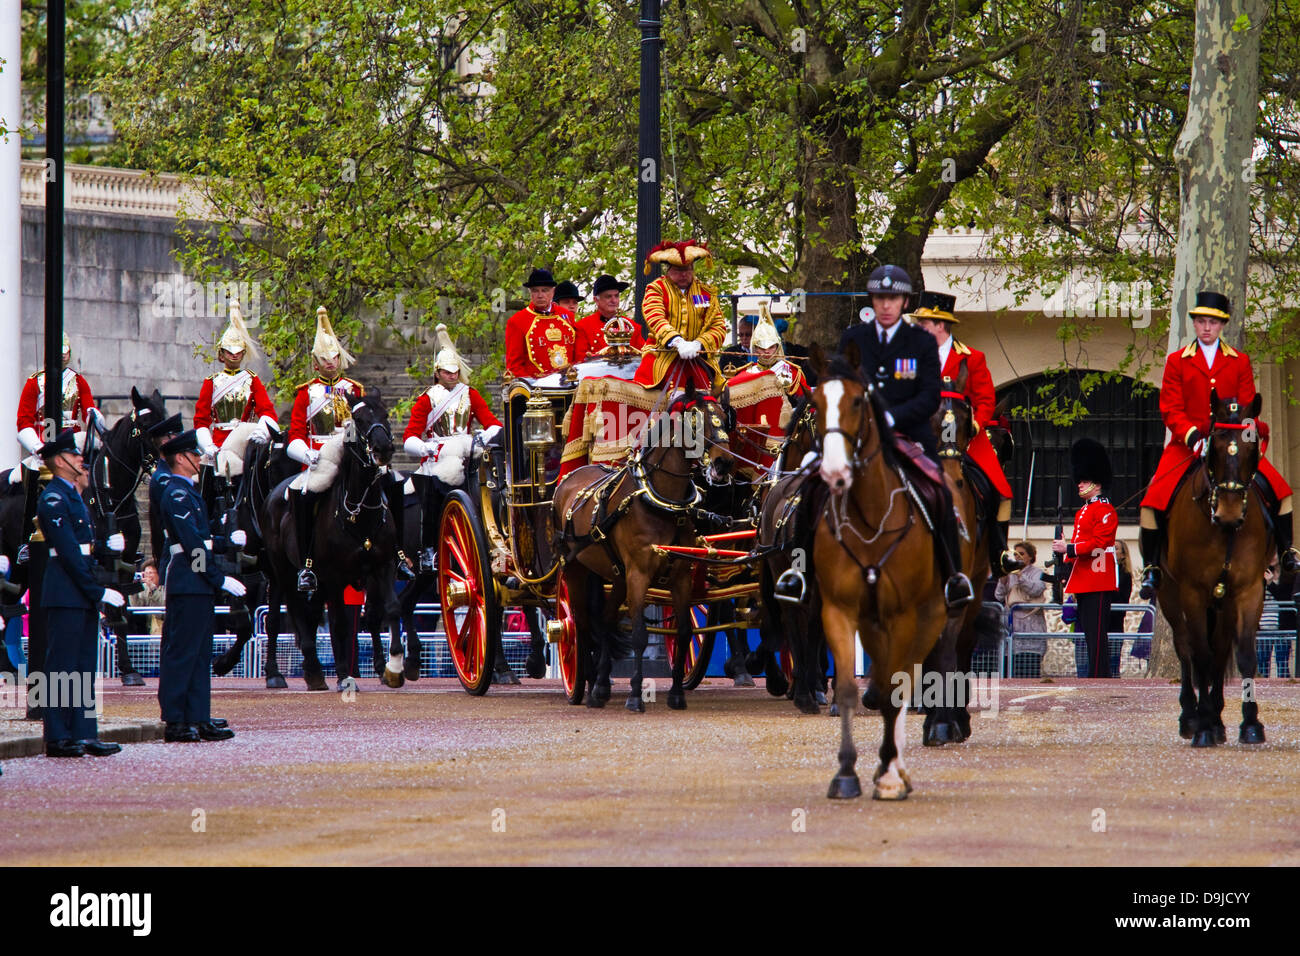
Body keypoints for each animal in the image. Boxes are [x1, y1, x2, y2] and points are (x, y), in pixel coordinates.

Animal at [261, 392, 403, 691]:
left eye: (385, 414)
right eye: (358, 419)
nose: (383, 448)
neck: (361, 511)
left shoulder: (382, 566)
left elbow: (391, 609)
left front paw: (394, 668)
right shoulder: (335, 576)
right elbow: (338, 625)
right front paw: (343, 677)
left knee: (312, 613)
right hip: (284, 571)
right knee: (293, 609)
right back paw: (307, 670)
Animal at [551, 379, 738, 712]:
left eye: (724, 418)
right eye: (694, 419)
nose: (724, 462)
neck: (664, 503)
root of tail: (571, 477)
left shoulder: (680, 575)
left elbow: (684, 631)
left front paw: (676, 694)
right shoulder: (638, 573)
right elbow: (639, 633)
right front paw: (636, 695)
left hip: (615, 575)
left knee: (604, 620)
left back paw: (600, 686)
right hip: (574, 569)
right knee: (581, 623)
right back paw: (583, 686)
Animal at [816, 348, 961, 801]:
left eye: (857, 402)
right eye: (814, 402)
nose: (834, 472)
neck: (870, 517)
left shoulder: (904, 616)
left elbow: (896, 692)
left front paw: (889, 774)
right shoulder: (839, 611)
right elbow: (850, 688)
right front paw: (846, 773)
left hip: (930, 618)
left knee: (904, 681)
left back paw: (897, 766)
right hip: (872, 623)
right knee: (882, 683)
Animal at [1159, 390, 1268, 749]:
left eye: (1252, 447)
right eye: (1215, 446)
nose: (1229, 513)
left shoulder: (1249, 589)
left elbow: (1243, 653)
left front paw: (1250, 724)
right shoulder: (1191, 592)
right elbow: (1200, 657)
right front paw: (1203, 725)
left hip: (1223, 603)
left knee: (1220, 650)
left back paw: (1218, 720)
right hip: (1169, 596)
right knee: (1185, 650)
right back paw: (1191, 717)